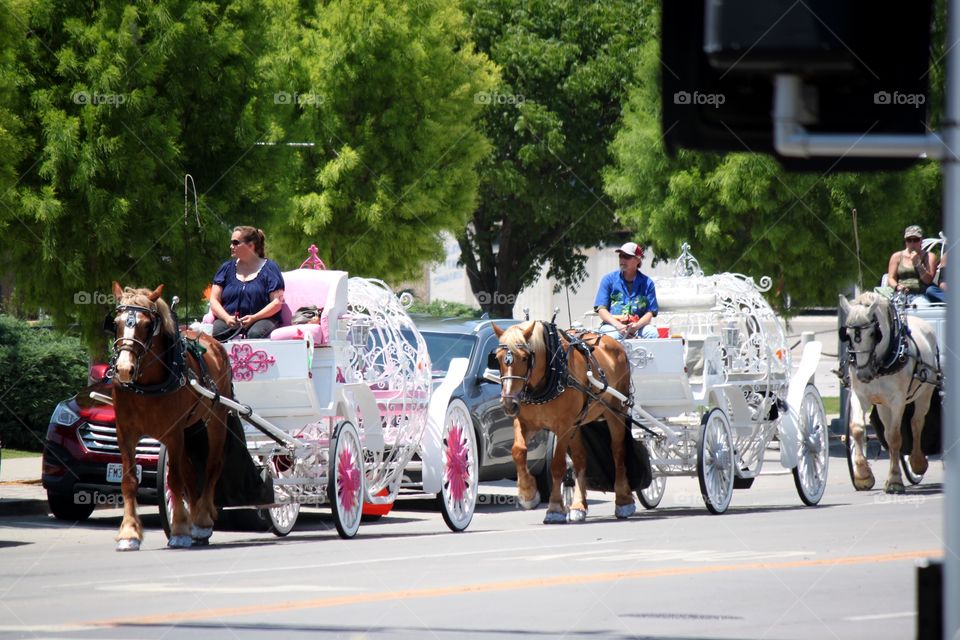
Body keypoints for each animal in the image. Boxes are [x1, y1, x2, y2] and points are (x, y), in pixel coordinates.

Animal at [109, 282, 234, 552]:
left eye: (147, 325)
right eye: (116, 322)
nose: (124, 369)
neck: (146, 385)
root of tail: (213, 342)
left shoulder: (173, 433)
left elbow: (175, 481)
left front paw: (178, 530)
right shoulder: (125, 433)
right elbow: (129, 481)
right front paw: (129, 533)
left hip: (216, 420)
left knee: (213, 466)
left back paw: (201, 520)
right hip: (190, 428)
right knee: (190, 473)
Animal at [496, 322, 636, 524]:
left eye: (524, 357)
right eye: (497, 358)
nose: (508, 403)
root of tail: (614, 342)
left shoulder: (563, 426)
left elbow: (557, 466)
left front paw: (554, 508)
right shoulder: (525, 423)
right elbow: (518, 451)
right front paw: (528, 494)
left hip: (614, 412)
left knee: (618, 452)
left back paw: (624, 501)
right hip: (578, 423)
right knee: (580, 458)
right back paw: (578, 506)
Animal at [836, 292, 940, 496]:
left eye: (873, 333)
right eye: (848, 335)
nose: (863, 374)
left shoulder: (897, 401)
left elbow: (894, 437)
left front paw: (894, 481)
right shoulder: (859, 395)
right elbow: (857, 429)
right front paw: (862, 475)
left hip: (925, 392)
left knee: (916, 423)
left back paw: (917, 462)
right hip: (882, 404)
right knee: (887, 428)